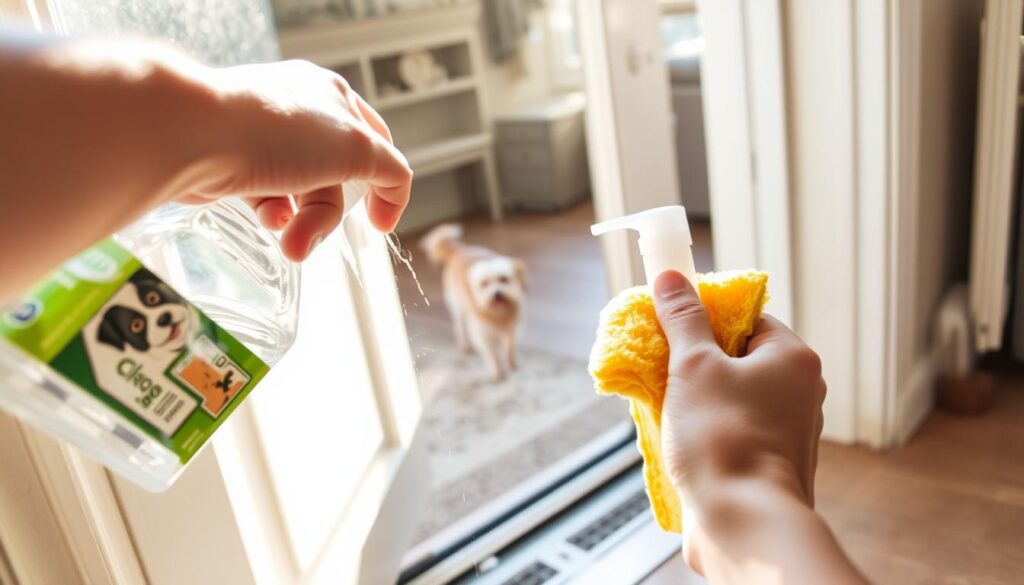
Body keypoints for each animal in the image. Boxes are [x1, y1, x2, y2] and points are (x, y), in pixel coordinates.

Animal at [419, 223, 528, 379]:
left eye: (503, 279)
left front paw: (513, 364)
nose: (497, 294)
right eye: (484, 284)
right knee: (459, 326)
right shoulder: (481, 334)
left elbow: (509, 349)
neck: (497, 315)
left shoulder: (511, 329)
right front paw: (497, 371)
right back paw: (465, 345)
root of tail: (459, 250)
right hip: (457, 306)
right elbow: (492, 354)